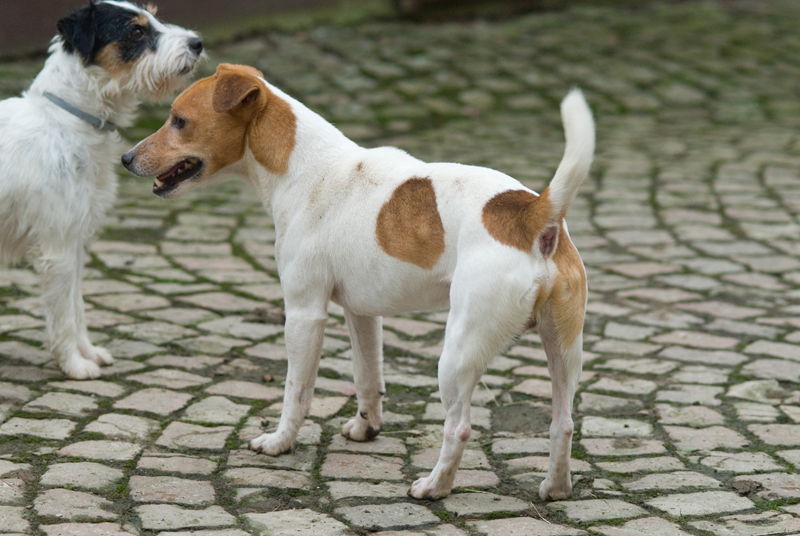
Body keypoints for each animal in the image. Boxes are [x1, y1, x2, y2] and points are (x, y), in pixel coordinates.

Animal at [0, 3, 203, 382]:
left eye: (154, 15)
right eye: (136, 32)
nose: (197, 43)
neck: (66, 120)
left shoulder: (75, 246)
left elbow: (76, 306)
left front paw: (88, 353)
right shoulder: (58, 250)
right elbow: (63, 314)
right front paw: (74, 365)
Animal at [120, 65, 592, 500]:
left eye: (179, 120)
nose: (125, 158)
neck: (307, 169)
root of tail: (534, 215)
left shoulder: (304, 315)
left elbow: (297, 391)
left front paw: (280, 443)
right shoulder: (362, 313)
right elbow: (368, 378)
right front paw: (367, 429)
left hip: (457, 354)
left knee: (458, 428)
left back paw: (434, 487)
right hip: (563, 350)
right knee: (564, 423)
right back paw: (556, 487)